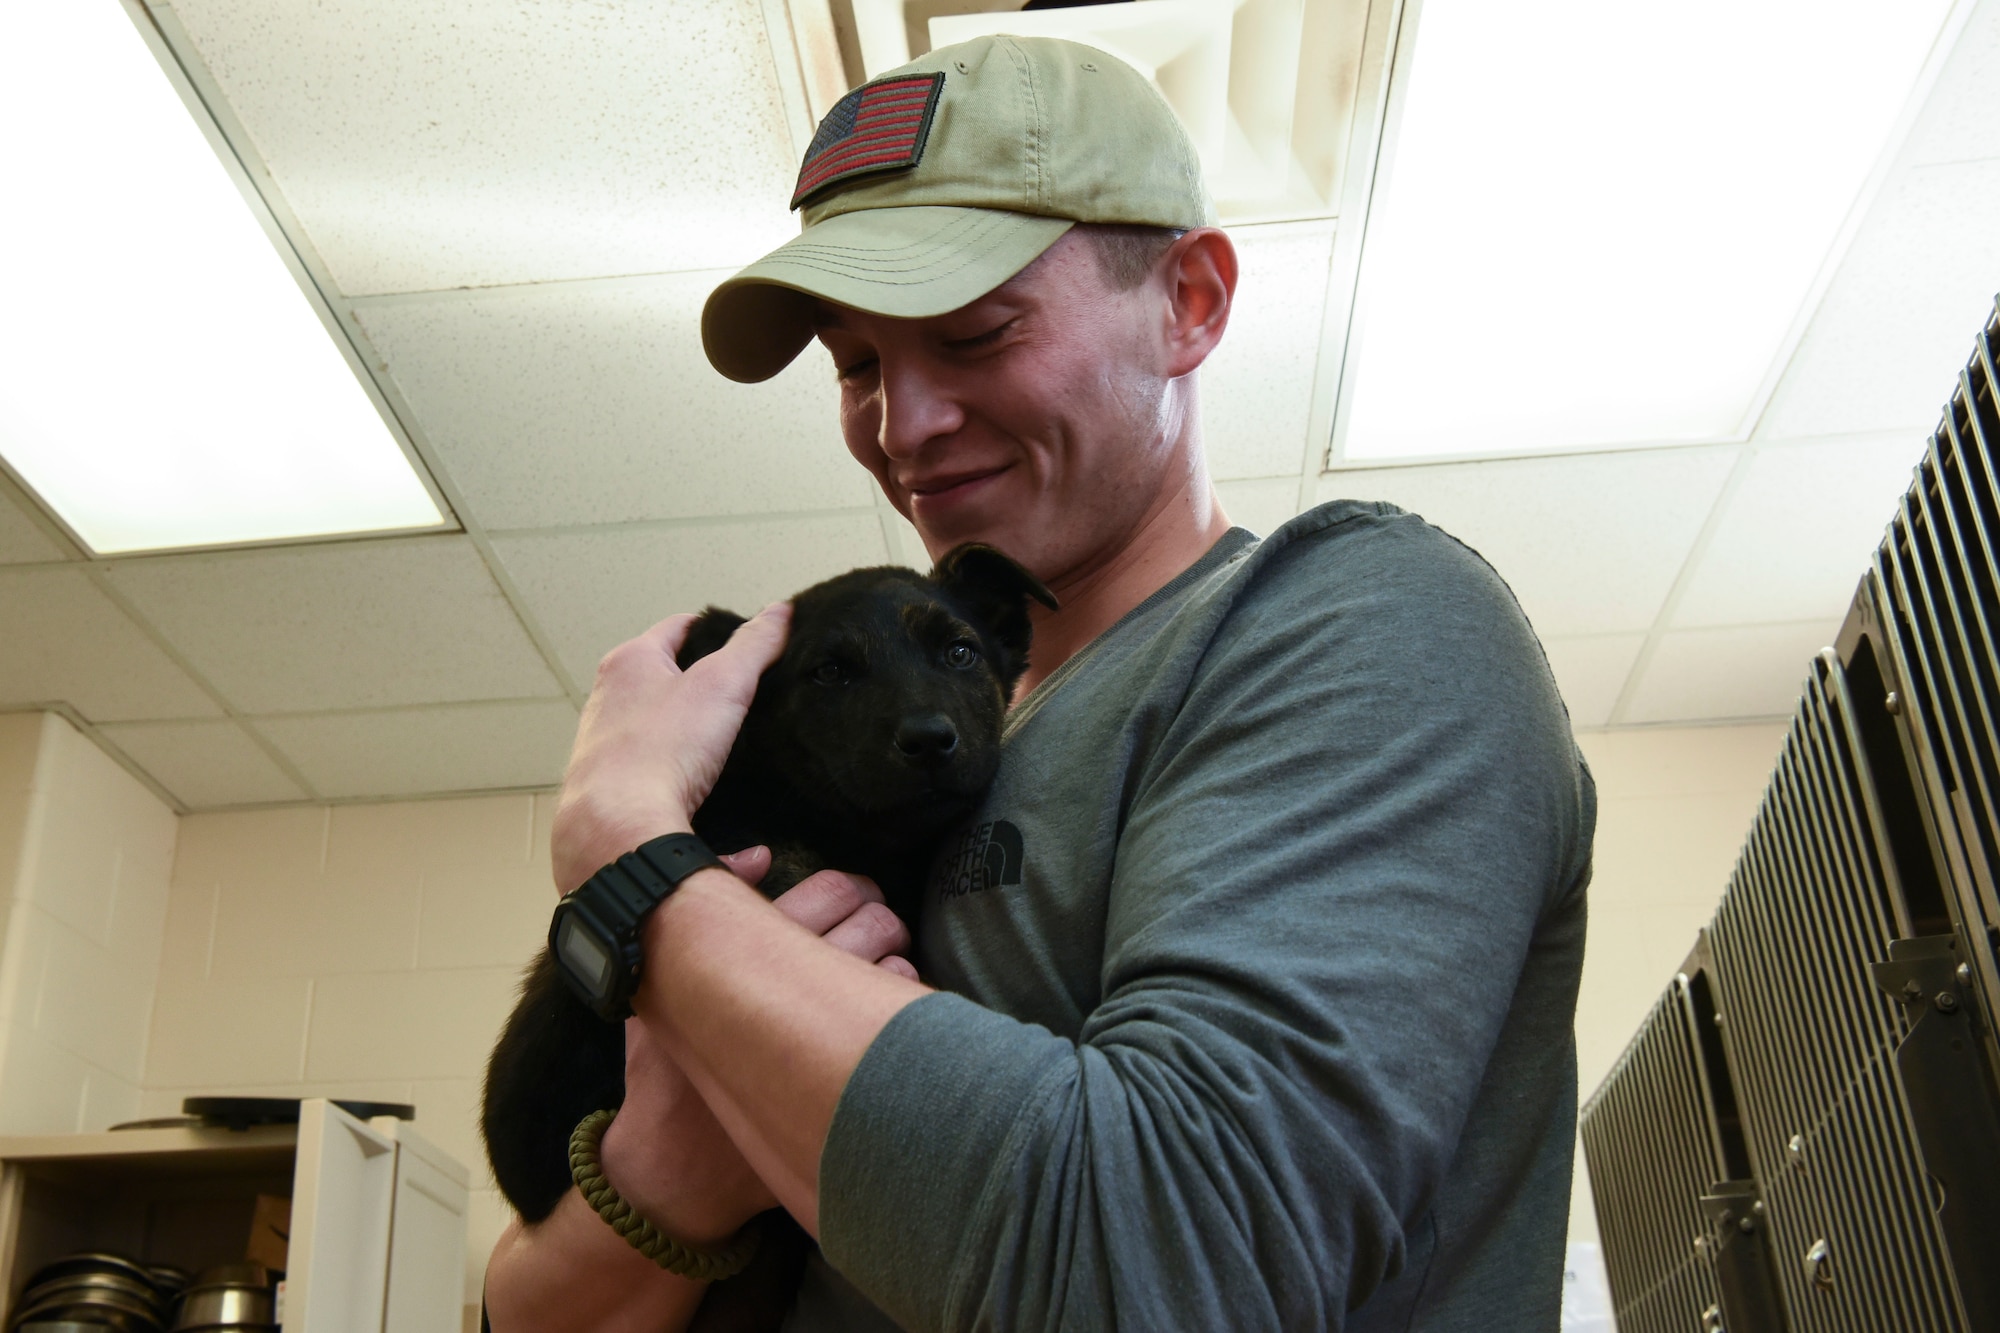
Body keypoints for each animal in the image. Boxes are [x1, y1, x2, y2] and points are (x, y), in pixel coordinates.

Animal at [484, 544, 1056, 1320]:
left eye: (961, 652)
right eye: (830, 672)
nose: (931, 739)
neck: (859, 841)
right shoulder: (743, 840)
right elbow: (780, 862)